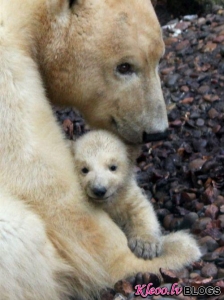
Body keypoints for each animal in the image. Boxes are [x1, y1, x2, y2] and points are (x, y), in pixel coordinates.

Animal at [72, 130, 163, 258]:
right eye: (84, 169)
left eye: (113, 167)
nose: (99, 190)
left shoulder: (126, 195)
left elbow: (141, 209)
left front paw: (146, 245)